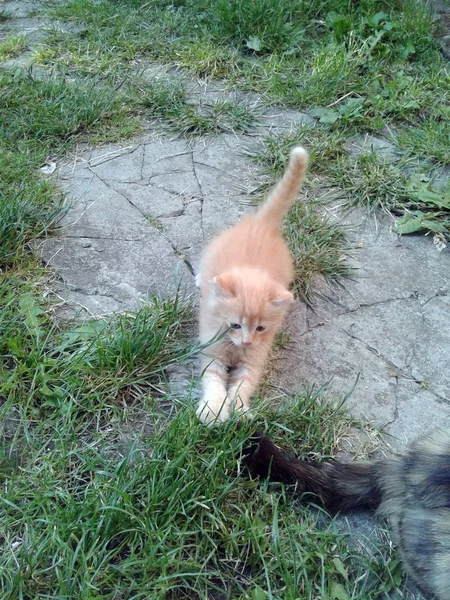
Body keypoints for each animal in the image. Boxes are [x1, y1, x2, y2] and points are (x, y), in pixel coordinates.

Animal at [195, 147, 308, 424]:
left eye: (260, 328)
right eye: (235, 325)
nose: (246, 342)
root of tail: (261, 225)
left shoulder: (255, 359)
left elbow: (243, 385)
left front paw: (238, 410)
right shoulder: (211, 351)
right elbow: (214, 382)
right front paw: (213, 410)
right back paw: (201, 279)